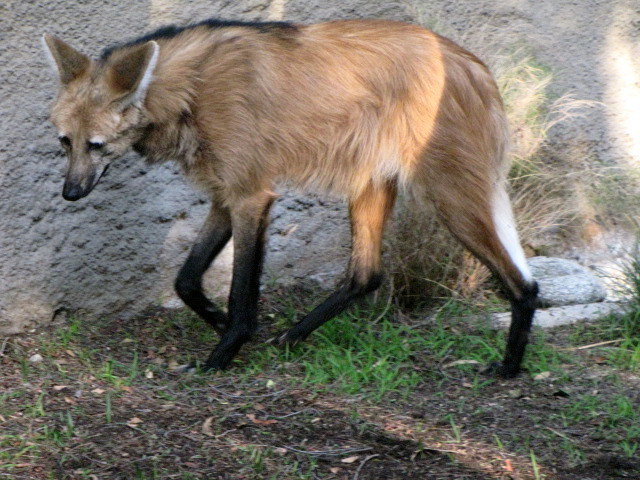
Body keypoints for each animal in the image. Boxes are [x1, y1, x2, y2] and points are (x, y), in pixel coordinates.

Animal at [43, 18, 538, 376]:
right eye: (66, 142)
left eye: (97, 145)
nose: (71, 193)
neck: (189, 91)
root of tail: (476, 65)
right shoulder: (225, 194)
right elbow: (185, 280)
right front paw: (221, 323)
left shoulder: (251, 195)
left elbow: (240, 290)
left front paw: (221, 355)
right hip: (369, 182)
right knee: (366, 274)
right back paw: (291, 338)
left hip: (449, 196)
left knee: (522, 282)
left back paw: (508, 369)